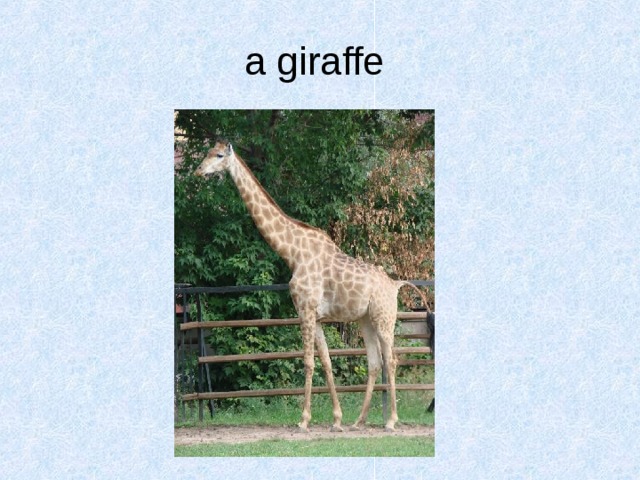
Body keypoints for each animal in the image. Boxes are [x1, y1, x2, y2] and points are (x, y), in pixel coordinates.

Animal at [195, 141, 430, 432]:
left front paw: (304, 420)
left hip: (384, 318)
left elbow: (307, 362)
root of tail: (395, 285)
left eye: (218, 155)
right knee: (375, 362)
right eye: (206, 153)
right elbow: (326, 362)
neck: (292, 253)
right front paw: (337, 420)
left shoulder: (304, 310)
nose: (198, 170)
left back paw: (390, 421)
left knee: (392, 360)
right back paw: (358, 421)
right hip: (365, 319)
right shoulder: (316, 317)